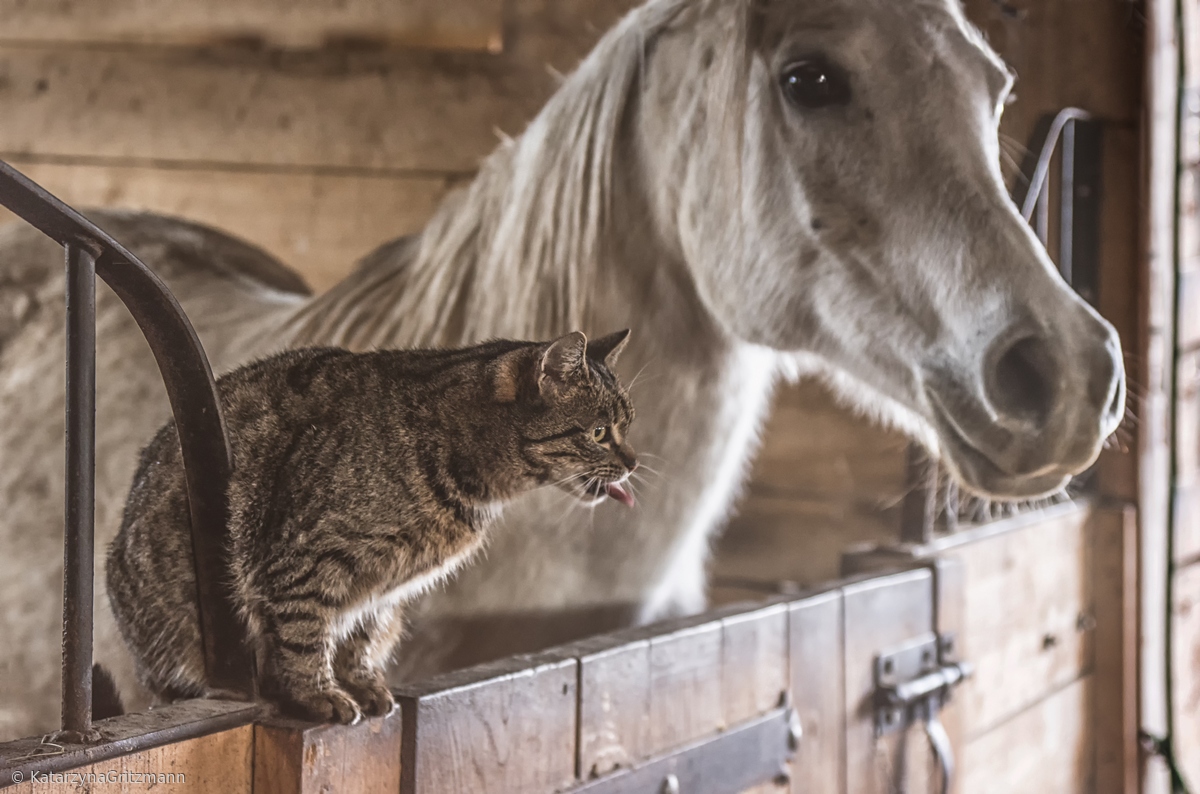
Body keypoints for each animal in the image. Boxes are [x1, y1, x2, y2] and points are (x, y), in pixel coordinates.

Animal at [108, 326, 638, 724]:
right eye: (598, 432)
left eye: (627, 426)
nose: (634, 462)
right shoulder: (305, 560)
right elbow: (305, 634)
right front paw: (318, 693)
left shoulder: (383, 589)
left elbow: (359, 636)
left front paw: (359, 682)